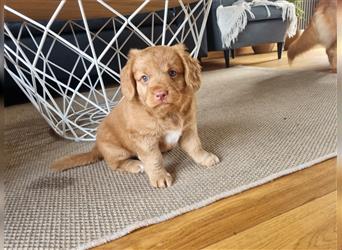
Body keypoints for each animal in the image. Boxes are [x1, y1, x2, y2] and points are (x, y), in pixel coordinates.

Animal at [51, 44, 220, 188]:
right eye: (144, 78)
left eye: (172, 73)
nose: (161, 94)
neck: (166, 113)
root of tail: (96, 147)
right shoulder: (145, 139)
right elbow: (154, 159)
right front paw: (159, 176)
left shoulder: (188, 128)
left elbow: (195, 146)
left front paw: (205, 158)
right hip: (116, 150)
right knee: (115, 164)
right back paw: (136, 165)